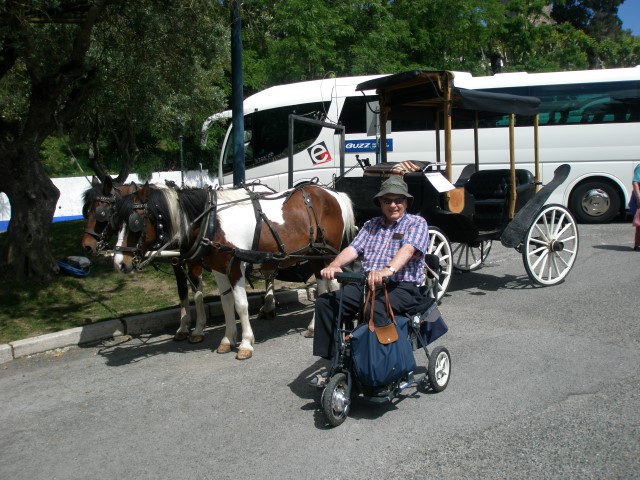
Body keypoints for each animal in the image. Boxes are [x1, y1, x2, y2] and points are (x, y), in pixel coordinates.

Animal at [110, 182, 352, 358]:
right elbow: (227, 304)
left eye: (135, 222)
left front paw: (245, 343)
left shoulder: (236, 266)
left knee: (333, 285)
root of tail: (333, 193)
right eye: (115, 222)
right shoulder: (219, 269)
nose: (119, 263)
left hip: (328, 253)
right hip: (313, 255)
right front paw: (227, 339)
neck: (210, 221)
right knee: (323, 287)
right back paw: (313, 326)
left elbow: (241, 305)